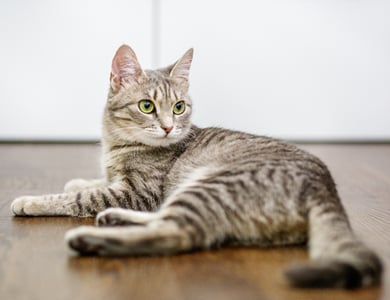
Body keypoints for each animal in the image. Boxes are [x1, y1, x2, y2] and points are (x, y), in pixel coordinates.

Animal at [10, 44, 382, 288]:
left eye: (178, 107)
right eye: (147, 106)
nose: (168, 128)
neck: (118, 145)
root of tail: (325, 186)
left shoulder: (139, 192)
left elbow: (79, 198)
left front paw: (32, 201)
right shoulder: (122, 182)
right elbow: (93, 183)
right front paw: (79, 180)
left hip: (209, 185)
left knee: (177, 233)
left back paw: (90, 239)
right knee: (168, 221)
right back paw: (112, 220)